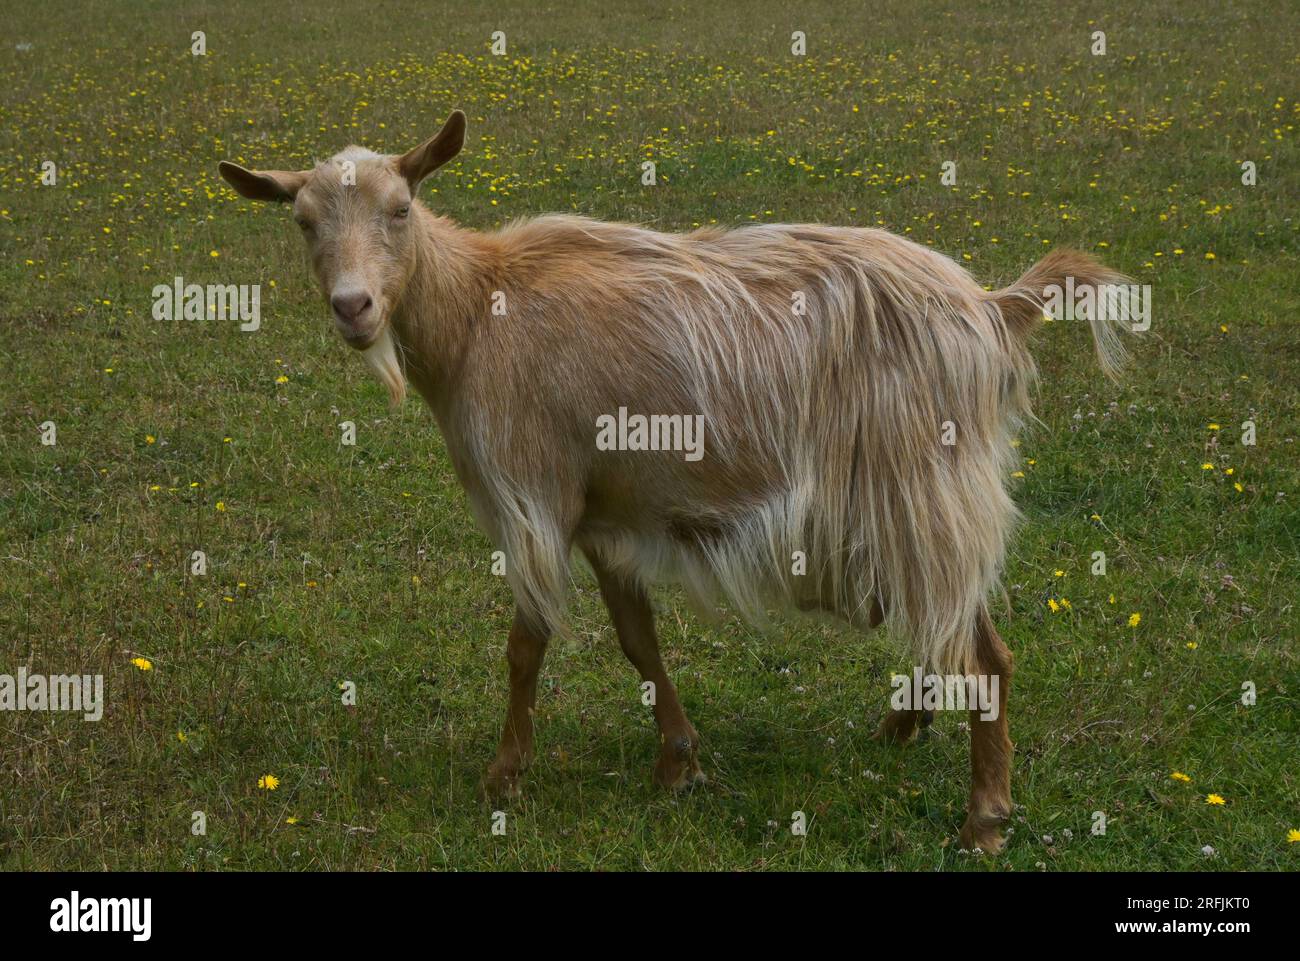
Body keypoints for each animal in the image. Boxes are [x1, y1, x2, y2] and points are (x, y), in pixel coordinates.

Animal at [220, 109, 1128, 853]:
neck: (479, 309)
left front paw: (503, 775)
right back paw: (903, 726)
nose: (354, 307)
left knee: (984, 651)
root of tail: (991, 307)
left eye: (401, 208)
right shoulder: (605, 512)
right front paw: (677, 762)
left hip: (922, 486)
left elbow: (526, 645)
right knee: (947, 625)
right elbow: (637, 637)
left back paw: (983, 818)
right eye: (302, 221)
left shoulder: (534, 497)